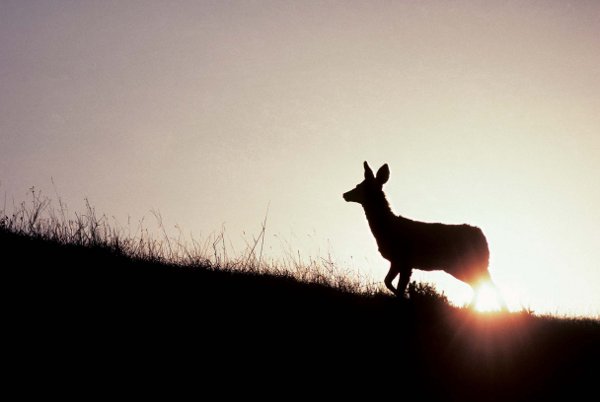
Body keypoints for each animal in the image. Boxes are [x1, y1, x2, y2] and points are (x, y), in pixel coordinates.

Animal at [342, 160, 506, 308]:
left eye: (359, 186)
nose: (345, 194)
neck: (387, 229)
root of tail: (482, 237)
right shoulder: (397, 261)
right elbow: (387, 281)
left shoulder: (405, 260)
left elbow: (398, 286)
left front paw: (404, 298)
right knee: (483, 285)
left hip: (463, 264)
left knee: (485, 285)